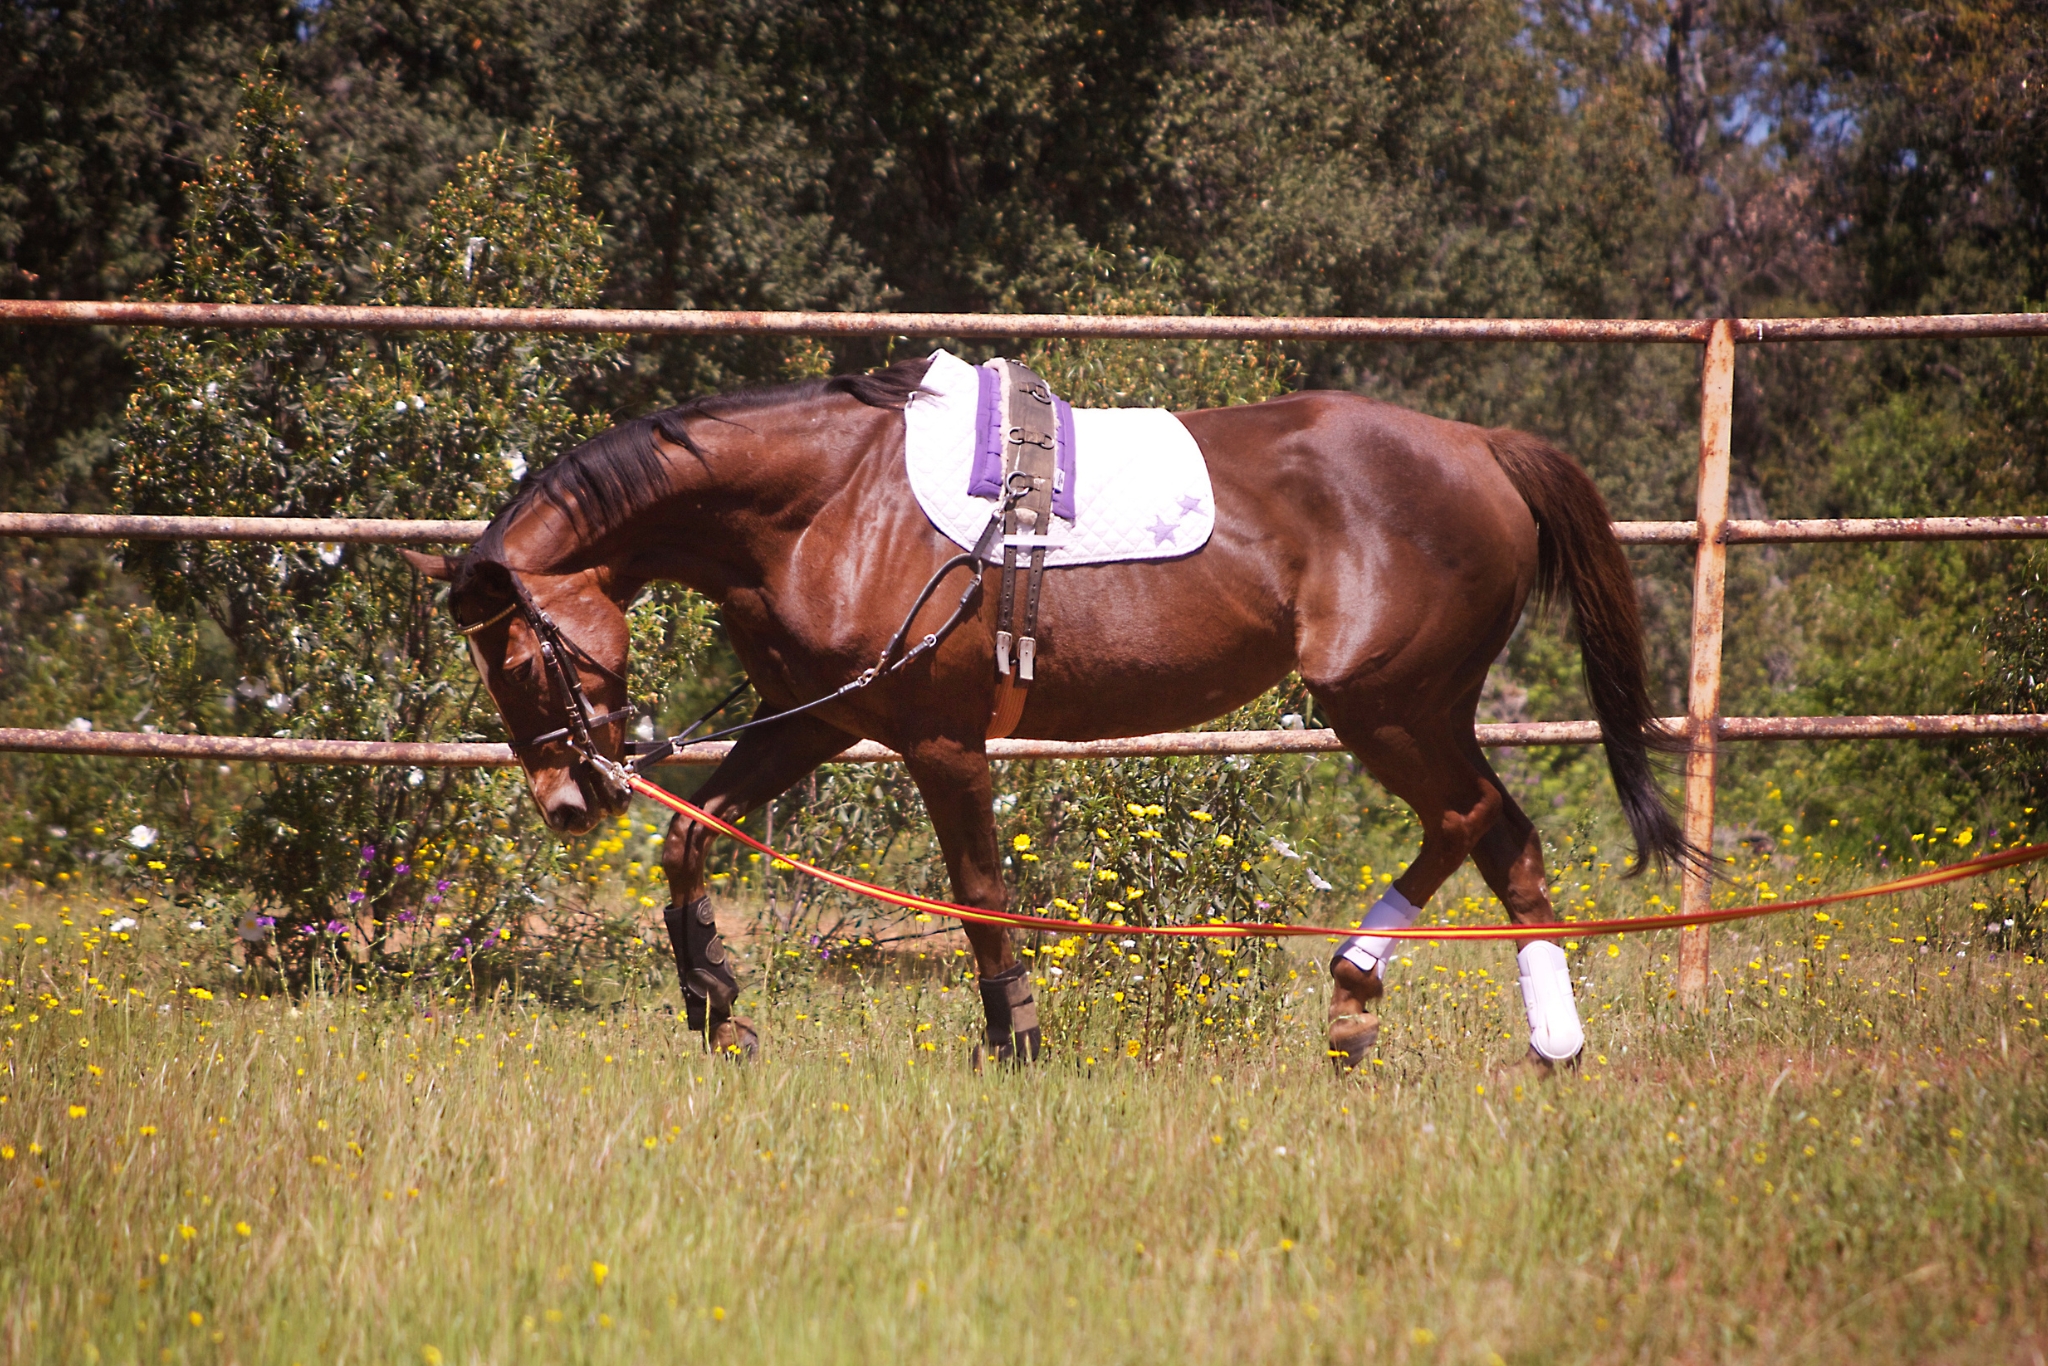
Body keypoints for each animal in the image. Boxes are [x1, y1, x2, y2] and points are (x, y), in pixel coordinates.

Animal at [400, 354, 1687, 1068]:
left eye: (516, 659)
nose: (566, 801)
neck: (825, 502)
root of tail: (1482, 448)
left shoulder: (937, 739)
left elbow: (975, 893)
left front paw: (1013, 1037)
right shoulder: (813, 717)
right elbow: (685, 838)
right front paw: (717, 1009)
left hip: (1384, 704)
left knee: (1467, 820)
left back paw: (1357, 987)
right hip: (1420, 710)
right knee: (1504, 837)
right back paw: (1539, 1043)